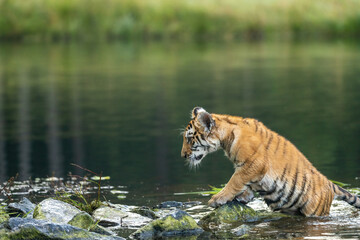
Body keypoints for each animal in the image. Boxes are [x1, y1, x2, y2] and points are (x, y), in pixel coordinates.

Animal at [181, 108, 358, 217]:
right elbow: (244, 185)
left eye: (189, 139)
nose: (183, 155)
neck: (225, 139)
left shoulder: (254, 164)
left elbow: (234, 181)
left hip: (315, 210)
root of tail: (330, 183)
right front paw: (243, 197)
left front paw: (217, 198)